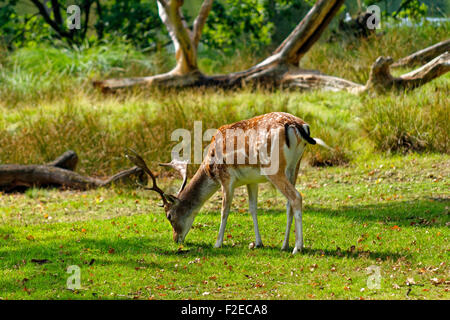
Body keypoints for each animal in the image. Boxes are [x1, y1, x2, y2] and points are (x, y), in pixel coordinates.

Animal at [126, 111, 330, 254]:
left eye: (169, 216)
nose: (176, 239)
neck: (210, 167)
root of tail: (298, 125)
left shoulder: (226, 178)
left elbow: (224, 210)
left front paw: (217, 243)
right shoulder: (251, 180)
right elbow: (252, 208)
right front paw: (258, 242)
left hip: (273, 168)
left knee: (296, 197)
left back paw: (298, 247)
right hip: (295, 165)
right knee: (289, 203)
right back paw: (284, 245)